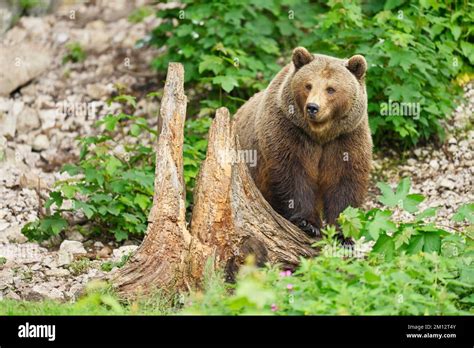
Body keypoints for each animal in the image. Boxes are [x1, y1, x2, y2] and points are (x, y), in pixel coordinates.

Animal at [235, 47, 372, 237]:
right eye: (308, 85)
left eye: (331, 89)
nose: (312, 107)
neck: (320, 134)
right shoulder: (289, 129)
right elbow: (293, 175)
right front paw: (308, 223)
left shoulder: (346, 138)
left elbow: (345, 181)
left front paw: (344, 233)